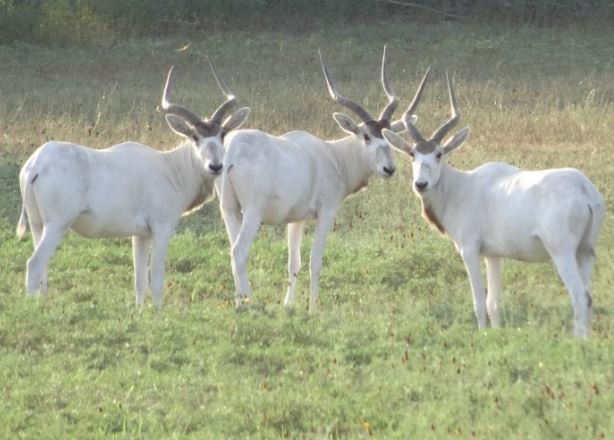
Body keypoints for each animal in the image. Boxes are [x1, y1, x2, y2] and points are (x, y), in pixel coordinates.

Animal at [16, 61, 250, 307]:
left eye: (222, 134)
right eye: (195, 137)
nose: (215, 166)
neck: (171, 167)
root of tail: (35, 166)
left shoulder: (140, 235)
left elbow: (139, 280)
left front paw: (140, 312)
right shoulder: (161, 228)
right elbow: (155, 274)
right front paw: (158, 311)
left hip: (38, 225)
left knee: (42, 270)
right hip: (57, 224)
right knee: (34, 264)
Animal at [219, 46, 430, 312]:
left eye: (387, 136)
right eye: (366, 136)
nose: (388, 168)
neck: (333, 155)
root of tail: (232, 150)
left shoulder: (296, 219)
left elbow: (294, 262)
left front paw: (289, 305)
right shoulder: (326, 213)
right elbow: (315, 261)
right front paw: (313, 308)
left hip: (229, 210)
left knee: (231, 251)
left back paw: (240, 302)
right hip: (252, 212)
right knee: (239, 252)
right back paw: (247, 304)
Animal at [382, 73, 605, 338]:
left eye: (438, 154)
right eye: (412, 154)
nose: (421, 184)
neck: (461, 186)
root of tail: (583, 189)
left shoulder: (469, 250)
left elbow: (479, 302)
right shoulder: (493, 255)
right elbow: (493, 304)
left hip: (562, 253)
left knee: (580, 295)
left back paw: (577, 342)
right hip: (585, 252)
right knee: (589, 295)